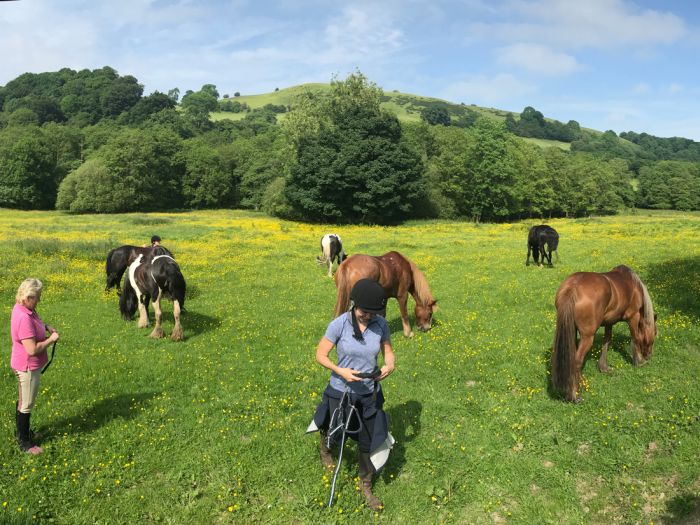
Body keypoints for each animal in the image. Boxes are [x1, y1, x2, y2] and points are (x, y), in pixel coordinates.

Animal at [548, 266, 660, 402]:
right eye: (655, 333)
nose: (648, 356)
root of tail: (572, 288)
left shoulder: (609, 322)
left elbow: (607, 341)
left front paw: (604, 367)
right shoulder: (634, 317)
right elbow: (636, 337)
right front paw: (639, 361)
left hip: (573, 331)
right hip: (587, 337)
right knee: (577, 360)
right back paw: (574, 395)